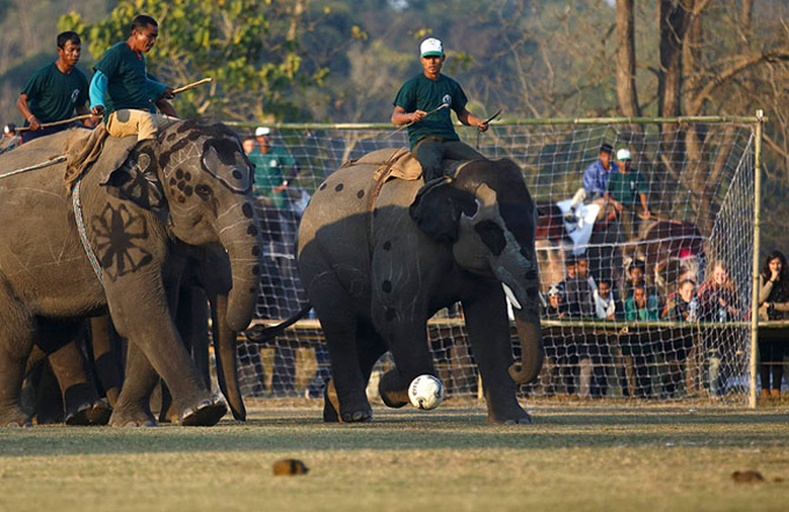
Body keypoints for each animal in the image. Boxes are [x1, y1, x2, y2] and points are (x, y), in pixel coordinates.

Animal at [0, 120, 264, 428]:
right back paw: (20, 421)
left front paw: (133, 421)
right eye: (203, 190)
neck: (155, 138)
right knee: (19, 334)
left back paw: (86, 412)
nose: (238, 414)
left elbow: (150, 312)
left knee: (54, 330)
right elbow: (141, 311)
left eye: (253, 180)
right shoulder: (117, 222)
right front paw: (203, 410)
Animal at [296, 148, 540, 424]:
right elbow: (399, 314)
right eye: (491, 231)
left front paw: (514, 421)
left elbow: (489, 320)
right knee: (342, 325)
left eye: (536, 222)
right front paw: (394, 388)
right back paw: (356, 413)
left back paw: (335, 407)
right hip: (316, 258)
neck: (453, 176)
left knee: (372, 332)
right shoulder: (404, 242)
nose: (516, 366)